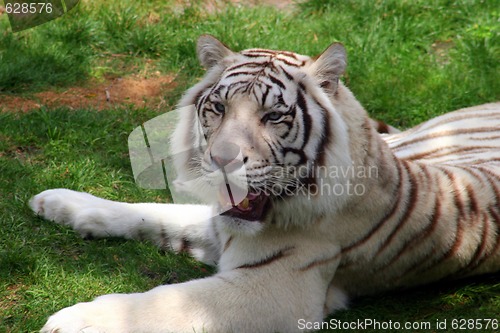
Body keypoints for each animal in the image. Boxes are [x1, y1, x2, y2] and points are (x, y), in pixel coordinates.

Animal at [31, 35, 500, 330]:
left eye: (273, 116)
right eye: (218, 108)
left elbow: (167, 300)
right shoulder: (220, 227)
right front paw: (57, 202)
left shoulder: (275, 287)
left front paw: (74, 321)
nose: (222, 160)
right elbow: (151, 213)